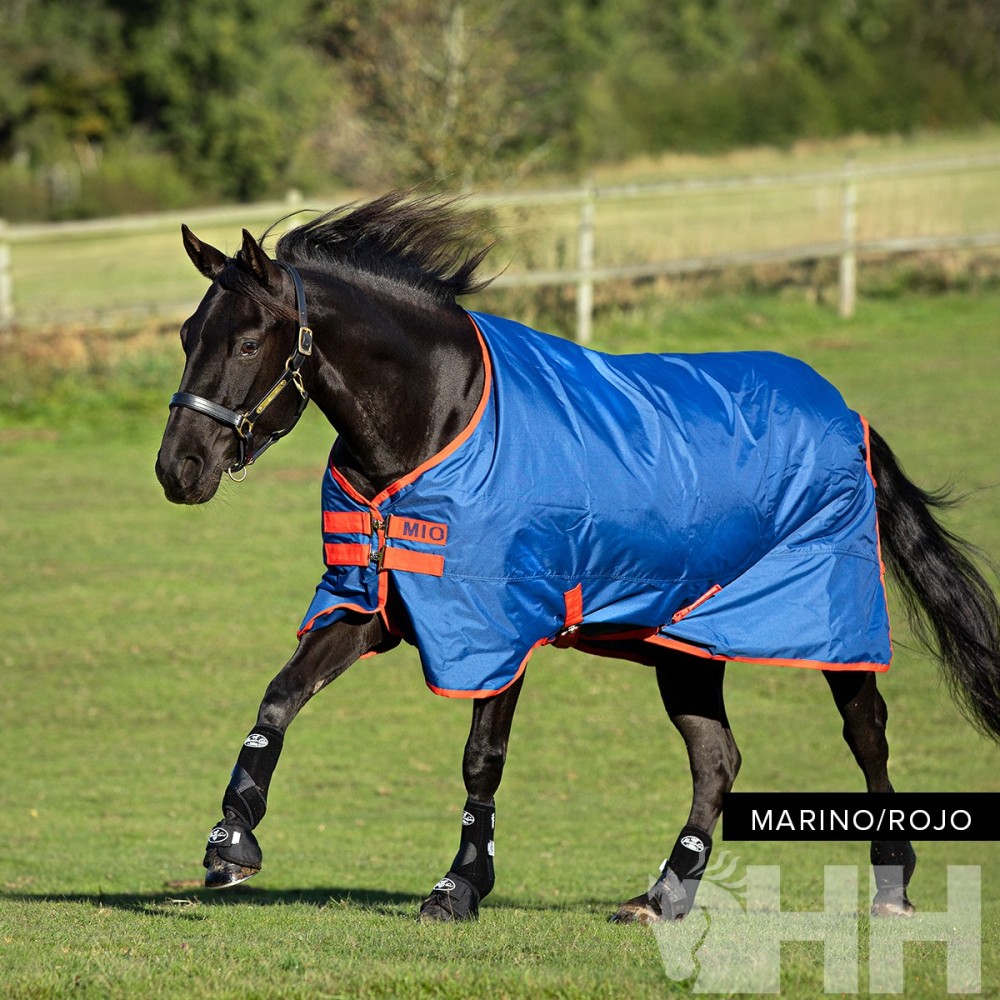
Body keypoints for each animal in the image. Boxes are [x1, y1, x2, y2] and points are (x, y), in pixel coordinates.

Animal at [155, 192, 1000, 924]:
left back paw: (891, 881)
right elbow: (279, 698)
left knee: (867, 734)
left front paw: (459, 886)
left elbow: (482, 757)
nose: (178, 468)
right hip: (687, 642)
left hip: (827, 620)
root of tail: (846, 413)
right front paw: (231, 841)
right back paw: (665, 893)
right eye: (188, 336)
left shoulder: (500, 628)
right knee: (717, 759)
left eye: (248, 341)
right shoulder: (372, 605)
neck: (438, 417)